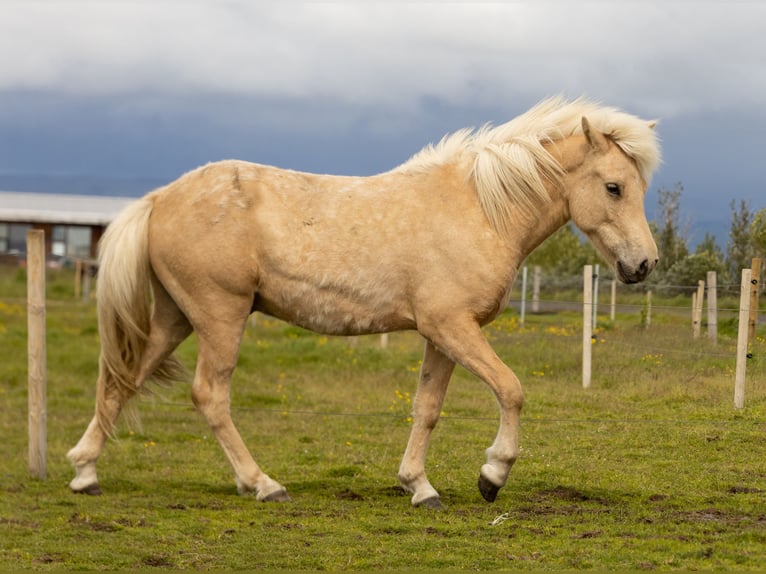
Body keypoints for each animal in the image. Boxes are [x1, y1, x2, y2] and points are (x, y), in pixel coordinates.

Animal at [67, 97, 661, 508]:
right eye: (613, 187)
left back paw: (85, 472)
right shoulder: (454, 328)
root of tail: (160, 198)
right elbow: (511, 391)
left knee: (123, 379)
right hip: (220, 316)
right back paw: (262, 484)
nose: (645, 264)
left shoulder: (443, 334)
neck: (479, 209)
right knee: (209, 396)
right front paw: (492, 476)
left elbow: (427, 408)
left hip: (176, 319)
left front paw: (418, 485)